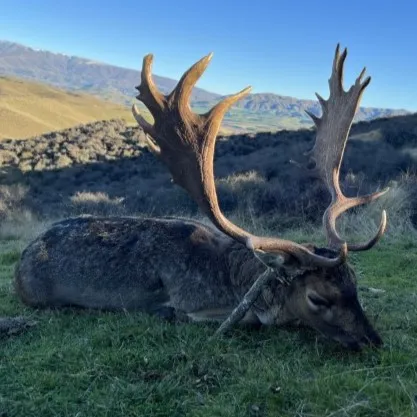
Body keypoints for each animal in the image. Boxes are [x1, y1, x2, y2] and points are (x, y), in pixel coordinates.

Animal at [13, 45, 390, 350]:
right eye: (317, 298)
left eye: (354, 284)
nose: (373, 340)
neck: (231, 276)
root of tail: (21, 260)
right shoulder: (190, 300)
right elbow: (235, 318)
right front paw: (166, 312)